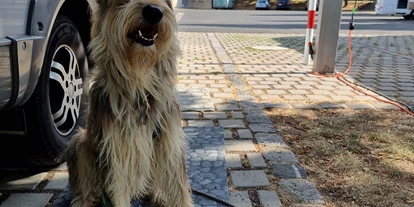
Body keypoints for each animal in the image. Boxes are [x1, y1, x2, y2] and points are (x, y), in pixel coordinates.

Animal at [66, 0, 194, 206]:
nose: (154, 12)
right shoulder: (115, 158)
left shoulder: (170, 146)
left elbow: (180, 191)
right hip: (80, 143)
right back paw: (84, 200)